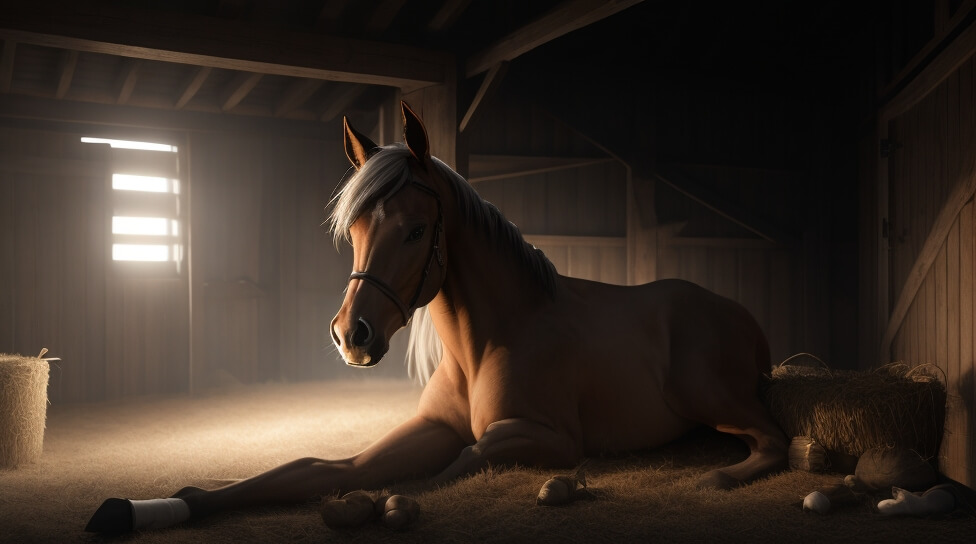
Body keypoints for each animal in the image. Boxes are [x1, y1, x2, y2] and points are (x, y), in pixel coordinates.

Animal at [82, 101, 784, 532]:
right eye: (354, 230)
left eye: (417, 230)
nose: (351, 335)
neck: (492, 339)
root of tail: (740, 312)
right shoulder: (427, 429)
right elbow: (316, 468)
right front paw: (152, 506)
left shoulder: (552, 439)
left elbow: (459, 463)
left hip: (705, 394)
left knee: (771, 438)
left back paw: (719, 477)